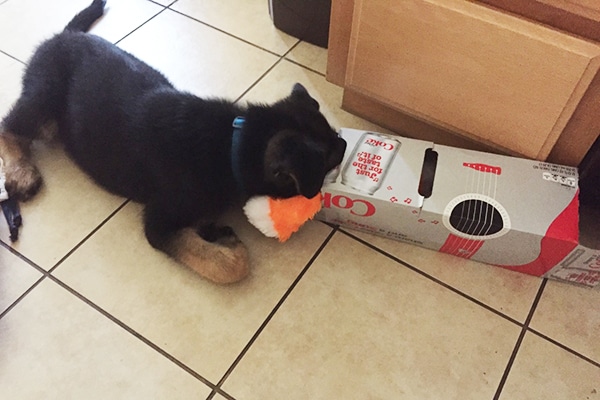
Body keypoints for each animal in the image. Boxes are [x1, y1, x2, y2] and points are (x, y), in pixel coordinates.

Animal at [0, 1, 346, 284]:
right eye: (329, 159)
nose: (344, 145)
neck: (232, 142)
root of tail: (65, 35)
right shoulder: (158, 222)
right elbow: (232, 267)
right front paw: (228, 244)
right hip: (44, 98)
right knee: (9, 128)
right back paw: (22, 174)